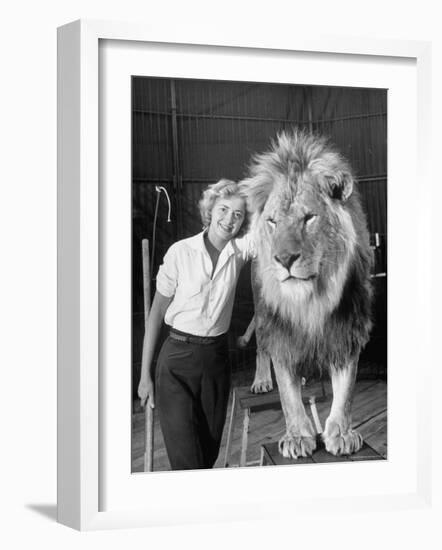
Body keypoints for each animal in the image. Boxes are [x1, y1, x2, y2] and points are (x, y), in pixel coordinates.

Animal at [238, 132, 372, 460]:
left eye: (309, 218)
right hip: (261, 310)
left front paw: (342, 433)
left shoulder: (347, 327)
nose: (284, 258)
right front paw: (298, 436)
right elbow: (287, 394)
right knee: (263, 349)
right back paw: (262, 380)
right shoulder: (281, 331)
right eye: (273, 221)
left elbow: (346, 389)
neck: (311, 301)